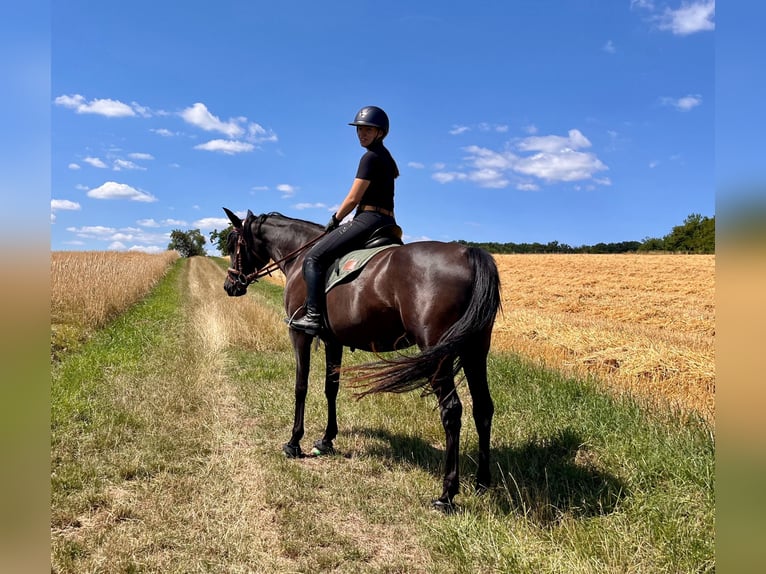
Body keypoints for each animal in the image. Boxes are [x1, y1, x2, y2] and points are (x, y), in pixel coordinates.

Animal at [222, 208, 501, 510]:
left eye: (233, 244)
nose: (229, 285)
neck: (299, 251)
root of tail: (468, 253)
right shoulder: (333, 341)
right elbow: (330, 388)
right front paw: (326, 441)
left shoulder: (299, 334)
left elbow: (301, 387)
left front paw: (294, 442)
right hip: (475, 351)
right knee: (483, 408)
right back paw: (482, 483)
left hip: (440, 354)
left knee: (451, 411)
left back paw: (446, 494)